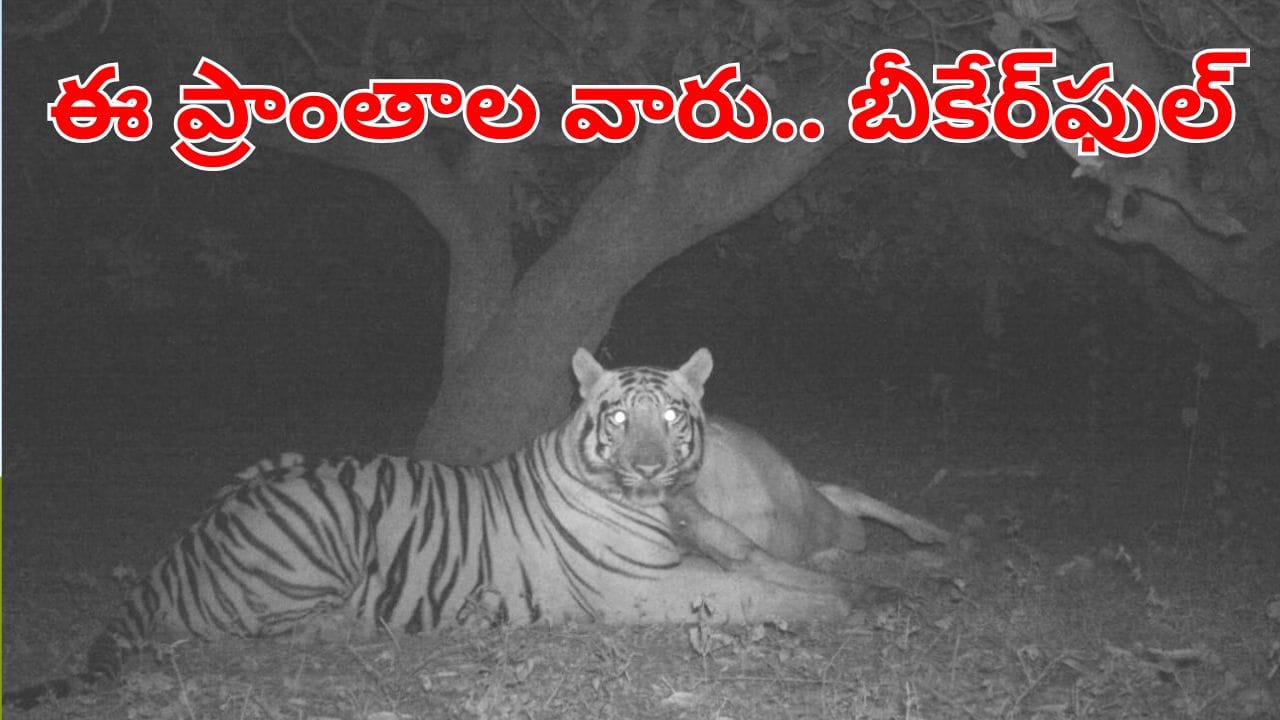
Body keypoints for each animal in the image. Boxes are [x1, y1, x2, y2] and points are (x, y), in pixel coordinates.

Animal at [4, 348, 850, 710]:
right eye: (617, 417)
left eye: (673, 416)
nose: (646, 465)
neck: (660, 502)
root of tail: (178, 548)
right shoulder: (644, 588)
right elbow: (755, 595)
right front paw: (841, 606)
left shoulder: (713, 542)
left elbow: (777, 569)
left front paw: (850, 587)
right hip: (317, 525)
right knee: (278, 628)